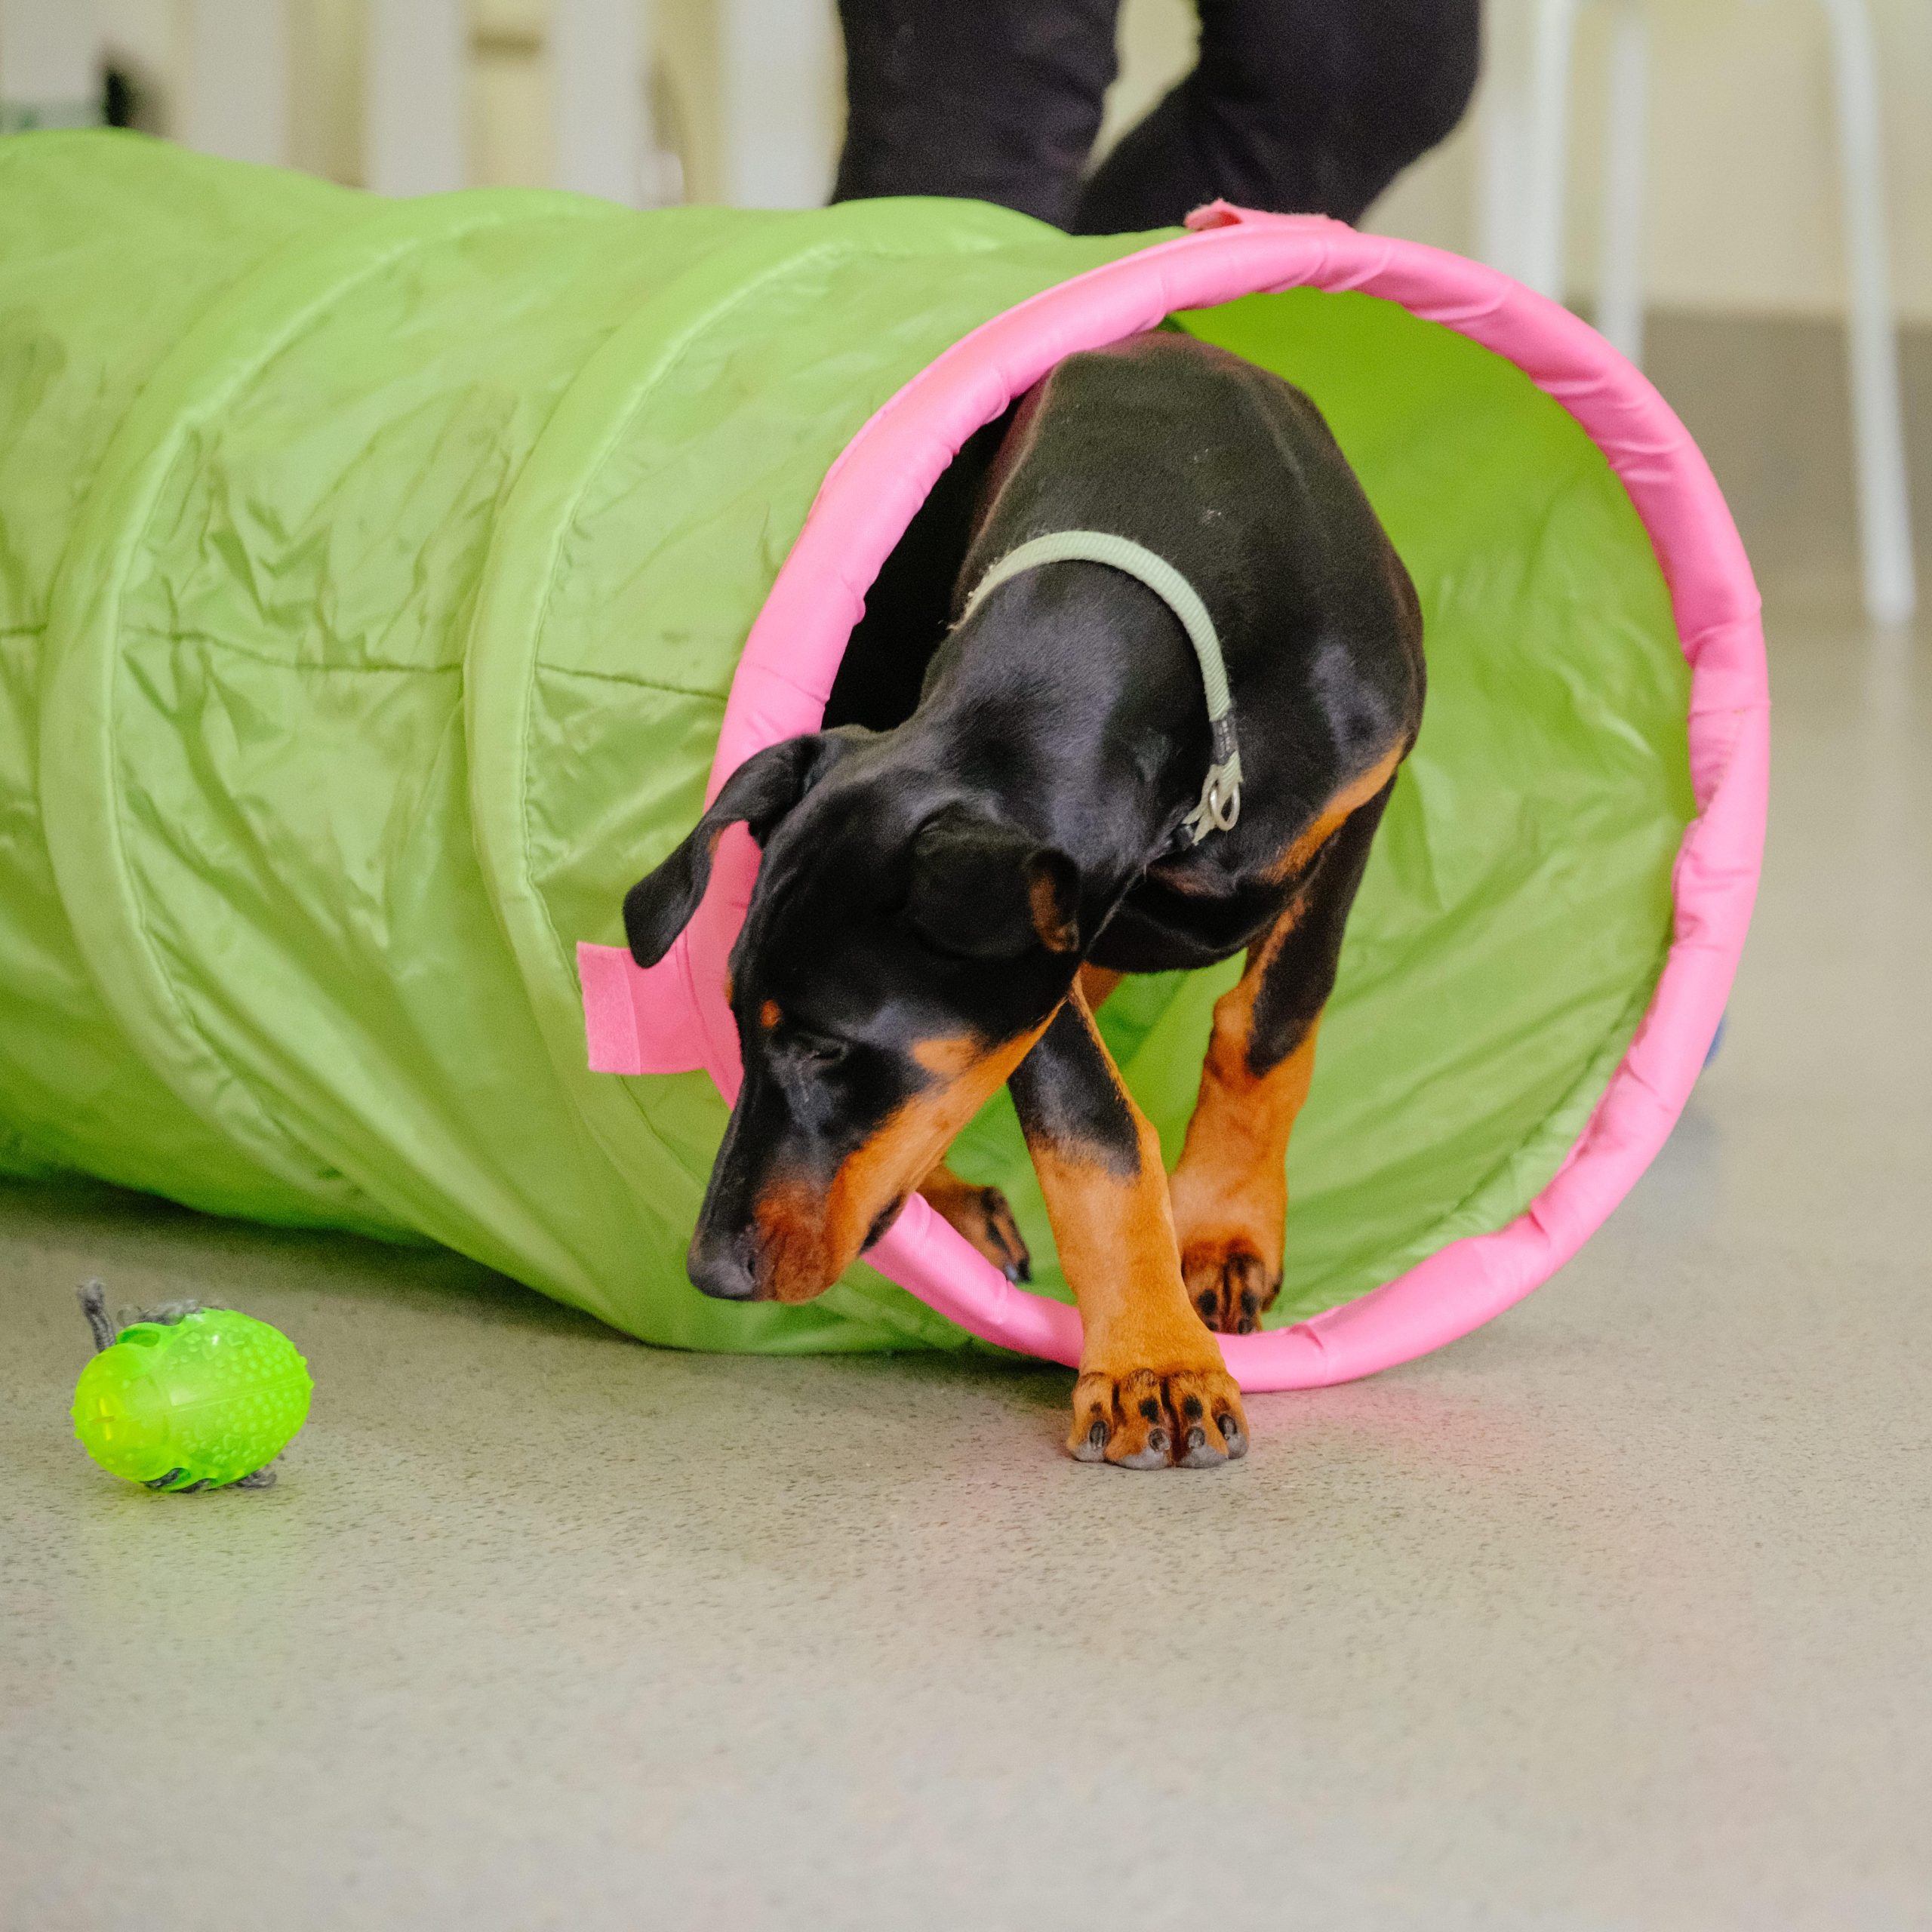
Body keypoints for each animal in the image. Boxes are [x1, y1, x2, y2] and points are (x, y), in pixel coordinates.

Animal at [626, 332, 1429, 1468]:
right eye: (736, 1024)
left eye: (826, 1047)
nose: (709, 1271)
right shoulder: (1045, 950)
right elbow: (1090, 1123)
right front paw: (1152, 1366)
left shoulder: (1363, 789)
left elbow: (1272, 1022)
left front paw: (1224, 1233)